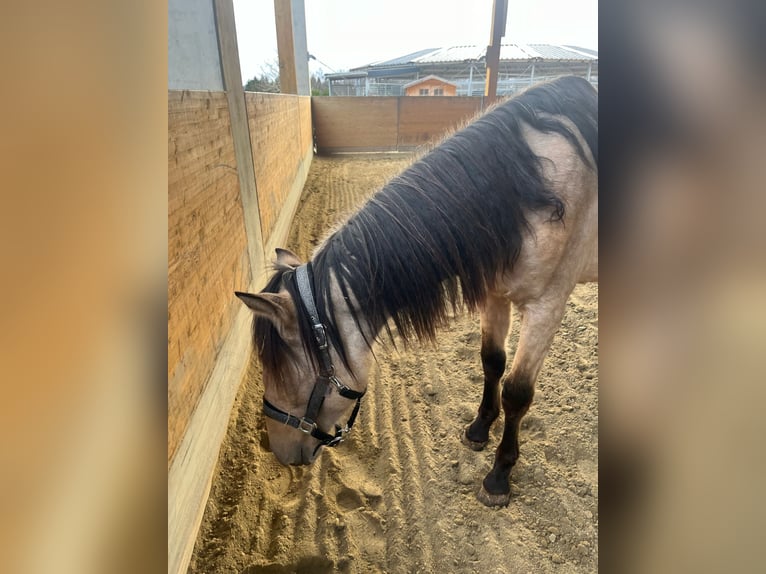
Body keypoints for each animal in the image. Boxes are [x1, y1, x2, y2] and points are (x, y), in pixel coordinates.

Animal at [236, 75, 600, 508]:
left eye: (282, 373)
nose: (280, 453)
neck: (523, 189)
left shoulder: (547, 307)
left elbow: (516, 392)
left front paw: (499, 475)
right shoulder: (494, 295)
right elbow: (491, 361)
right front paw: (479, 429)